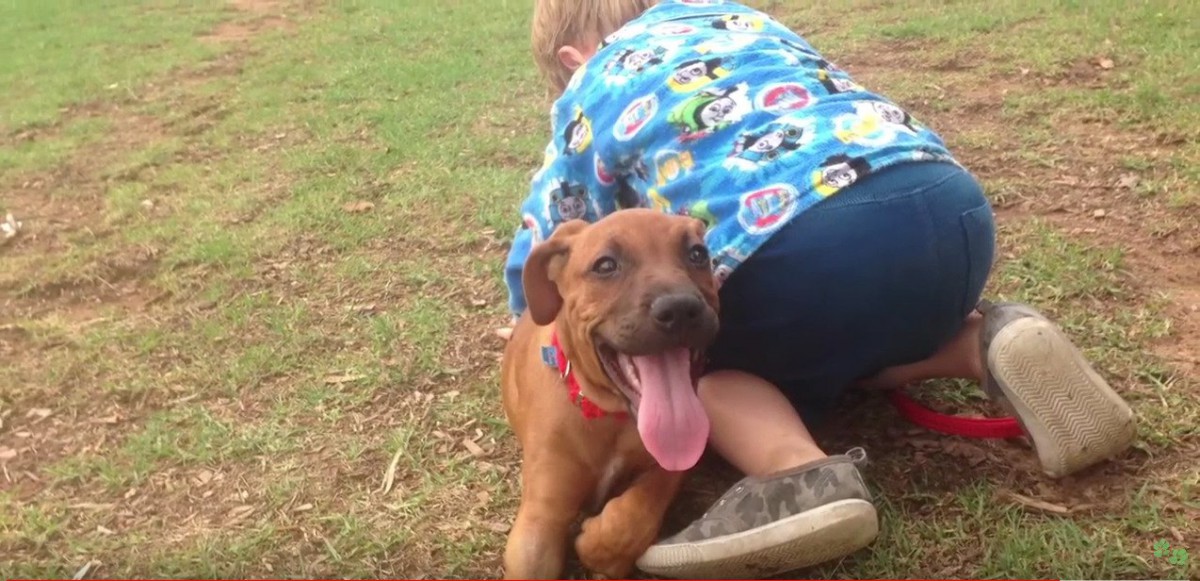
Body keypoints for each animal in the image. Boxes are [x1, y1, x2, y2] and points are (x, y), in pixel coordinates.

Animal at [499, 210, 715, 581]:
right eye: (605, 265)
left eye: (698, 254)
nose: (680, 308)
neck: (607, 415)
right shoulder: (539, 519)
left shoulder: (673, 464)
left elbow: (635, 511)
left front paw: (601, 549)